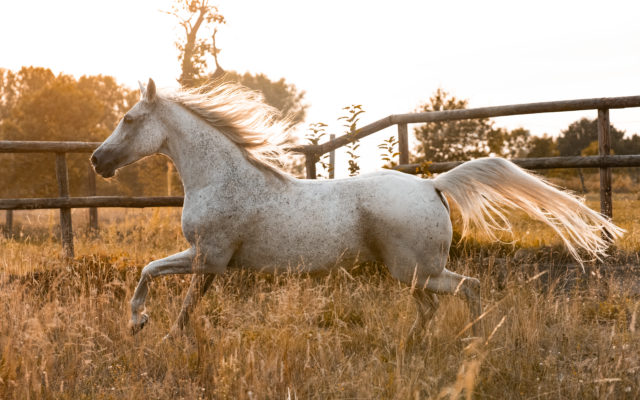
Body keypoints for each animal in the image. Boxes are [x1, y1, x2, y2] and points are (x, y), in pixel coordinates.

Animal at [92, 78, 624, 338]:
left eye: (129, 118)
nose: (98, 160)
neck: (224, 178)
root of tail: (432, 185)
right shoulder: (210, 264)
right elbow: (182, 303)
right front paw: (168, 337)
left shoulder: (208, 257)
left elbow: (149, 274)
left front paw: (140, 325)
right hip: (410, 274)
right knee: (433, 307)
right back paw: (414, 345)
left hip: (417, 270)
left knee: (467, 288)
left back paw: (474, 340)